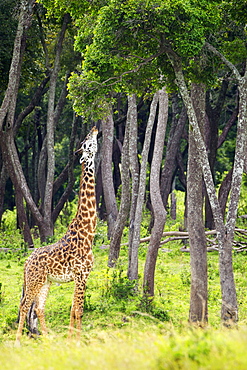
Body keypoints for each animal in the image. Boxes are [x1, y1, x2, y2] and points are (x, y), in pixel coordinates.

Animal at [14, 126, 98, 344]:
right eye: (87, 142)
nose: (95, 128)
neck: (88, 233)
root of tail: (26, 262)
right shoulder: (81, 274)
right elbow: (78, 310)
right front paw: (78, 340)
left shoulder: (81, 276)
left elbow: (73, 309)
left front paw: (71, 339)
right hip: (34, 280)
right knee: (24, 305)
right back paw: (18, 341)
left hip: (46, 282)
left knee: (39, 308)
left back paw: (48, 340)